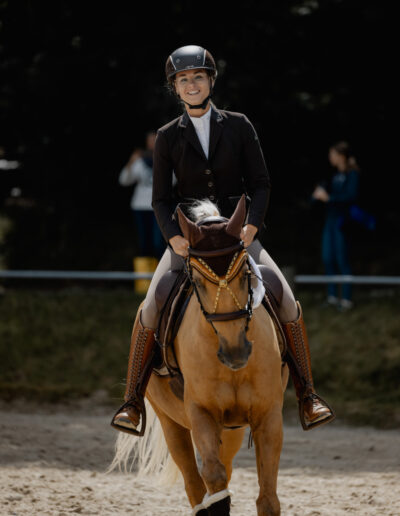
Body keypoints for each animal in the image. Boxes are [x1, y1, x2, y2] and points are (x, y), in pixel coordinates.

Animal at [111, 196, 290, 512]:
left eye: (245, 272)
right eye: (196, 279)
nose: (235, 351)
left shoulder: (268, 415)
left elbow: (267, 499)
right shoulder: (201, 413)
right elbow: (212, 477)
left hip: (231, 429)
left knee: (223, 470)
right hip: (171, 423)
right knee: (195, 483)